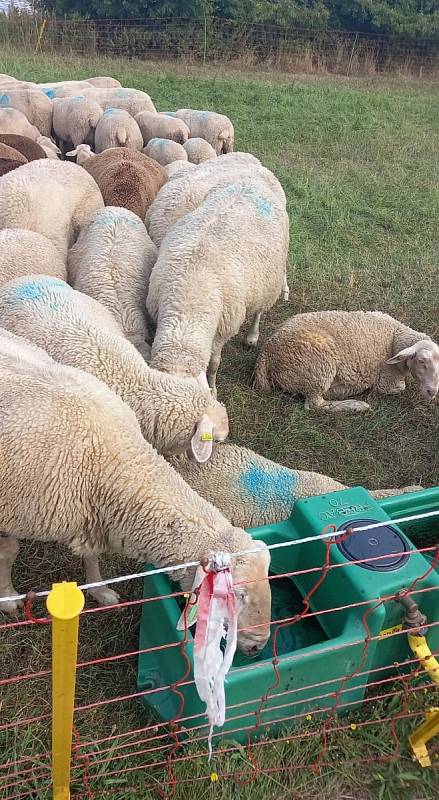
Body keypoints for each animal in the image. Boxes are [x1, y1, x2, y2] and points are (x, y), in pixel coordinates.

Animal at [0, 324, 270, 656]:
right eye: (236, 595)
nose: (258, 646)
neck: (115, 462)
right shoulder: (11, 512)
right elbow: (9, 553)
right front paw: (8, 598)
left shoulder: (93, 516)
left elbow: (92, 557)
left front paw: (101, 591)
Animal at [148, 180, 290, 396]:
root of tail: (249, 181)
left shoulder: (223, 328)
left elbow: (214, 364)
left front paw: (213, 390)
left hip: (266, 280)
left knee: (258, 310)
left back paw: (252, 337)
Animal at [253, 310, 439, 412]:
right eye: (421, 360)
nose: (432, 391)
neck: (394, 336)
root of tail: (265, 355)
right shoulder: (386, 382)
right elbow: (401, 387)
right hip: (317, 368)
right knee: (314, 404)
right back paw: (356, 405)